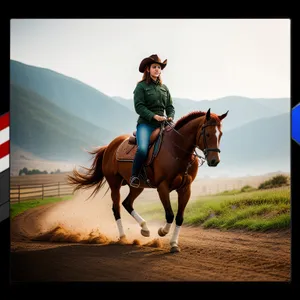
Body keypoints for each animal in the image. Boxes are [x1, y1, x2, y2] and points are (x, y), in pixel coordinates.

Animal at [67, 108, 227, 253]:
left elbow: (179, 218)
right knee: (116, 208)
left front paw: (174, 244)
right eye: (207, 134)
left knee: (127, 203)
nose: (215, 160)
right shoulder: (162, 187)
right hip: (114, 184)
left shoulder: (185, 189)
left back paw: (145, 228)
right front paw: (162, 231)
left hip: (137, 186)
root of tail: (109, 147)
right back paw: (123, 237)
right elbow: (170, 215)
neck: (177, 151)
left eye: (220, 134)